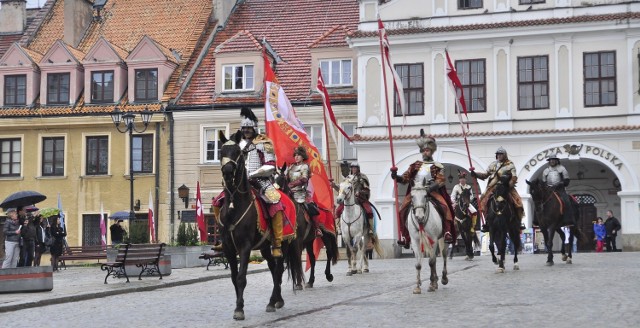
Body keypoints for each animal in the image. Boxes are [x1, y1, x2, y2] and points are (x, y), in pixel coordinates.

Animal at [218, 131, 304, 320]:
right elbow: (234, 277)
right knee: (273, 268)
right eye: (221, 152)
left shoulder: (245, 247)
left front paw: (239, 309)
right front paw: (239, 304)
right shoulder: (228, 248)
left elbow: (241, 277)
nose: (227, 172)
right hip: (265, 247)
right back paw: (276, 300)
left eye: (237, 152)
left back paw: (274, 301)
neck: (235, 205)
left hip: (283, 243)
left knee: (278, 269)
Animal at [410, 165, 450, 294]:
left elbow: (431, 262)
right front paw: (417, 286)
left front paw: (432, 284)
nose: (419, 217)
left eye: (425, 196)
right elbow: (418, 264)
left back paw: (443, 278)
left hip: (443, 239)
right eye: (412, 196)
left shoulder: (433, 239)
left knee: (443, 255)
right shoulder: (415, 241)